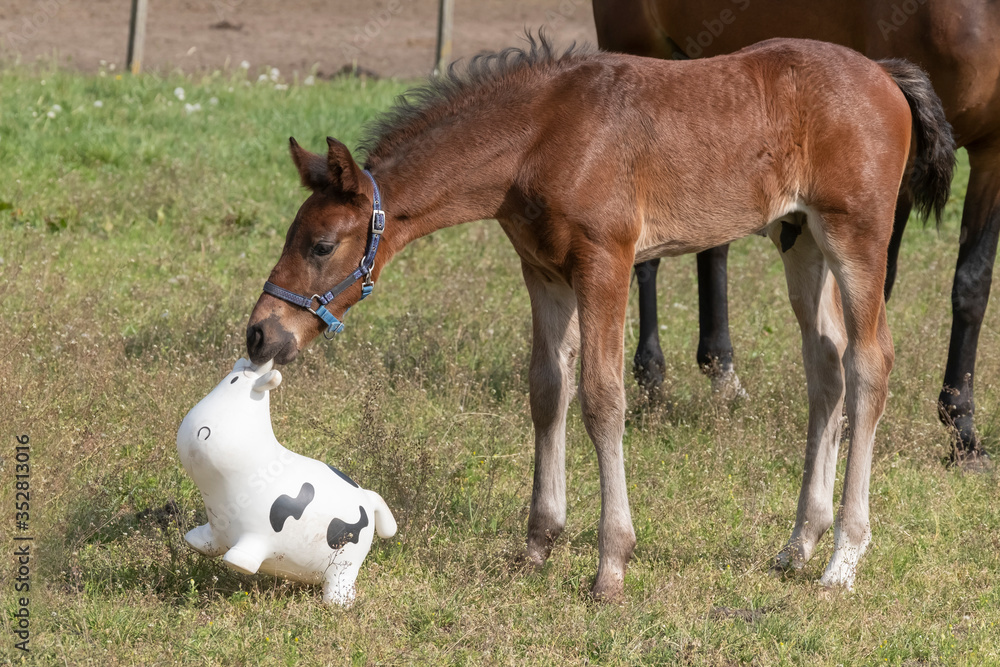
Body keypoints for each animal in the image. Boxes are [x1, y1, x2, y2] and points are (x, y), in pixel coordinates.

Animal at [245, 35, 953, 599]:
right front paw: (538, 543)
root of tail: (886, 74)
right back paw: (799, 544)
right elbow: (546, 389)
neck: (540, 136)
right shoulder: (543, 272)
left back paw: (843, 559)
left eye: (320, 245)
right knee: (826, 367)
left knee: (870, 363)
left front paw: (611, 564)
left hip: (856, 233)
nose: (260, 333)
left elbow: (602, 396)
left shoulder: (606, 261)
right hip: (799, 236)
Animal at [592, 0, 996, 464]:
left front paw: (963, 432)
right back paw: (652, 379)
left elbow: (973, 286)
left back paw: (722, 376)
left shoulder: (992, 152)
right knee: (649, 260)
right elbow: (884, 287)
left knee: (712, 247)